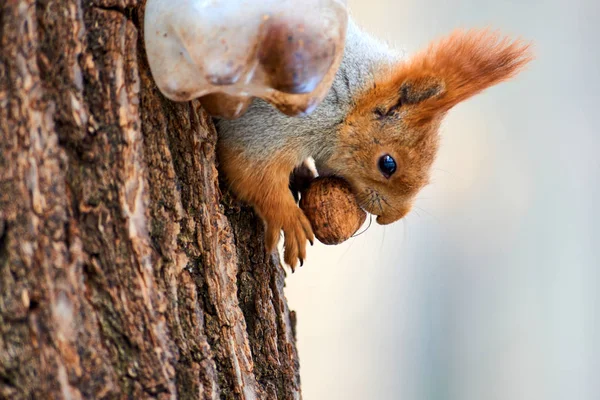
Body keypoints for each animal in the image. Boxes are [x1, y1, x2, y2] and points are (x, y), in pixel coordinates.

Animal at [214, 18, 528, 268]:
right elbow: (251, 170)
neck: (350, 100)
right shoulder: (272, 123)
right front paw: (287, 217)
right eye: (387, 164)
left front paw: (302, 175)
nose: (391, 218)